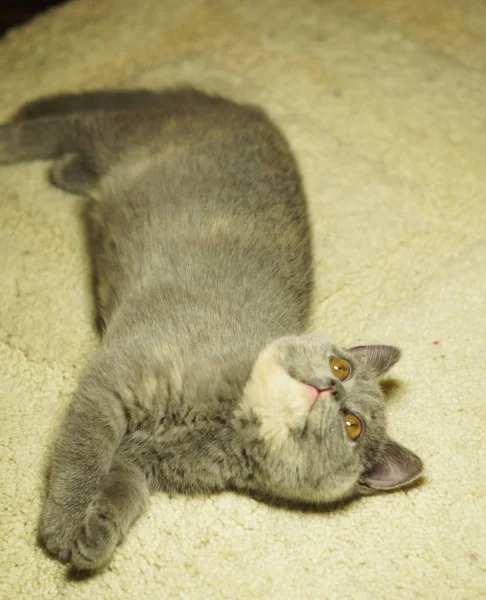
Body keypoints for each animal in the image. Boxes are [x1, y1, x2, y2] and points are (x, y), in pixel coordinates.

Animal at [0, 86, 422, 568]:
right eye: (340, 367)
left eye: (353, 426)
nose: (330, 388)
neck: (221, 420)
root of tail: (245, 108)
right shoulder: (113, 382)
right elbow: (83, 453)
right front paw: (65, 522)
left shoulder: (139, 459)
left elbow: (124, 488)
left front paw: (95, 535)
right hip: (128, 131)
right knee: (64, 126)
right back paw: (9, 143)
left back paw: (66, 171)